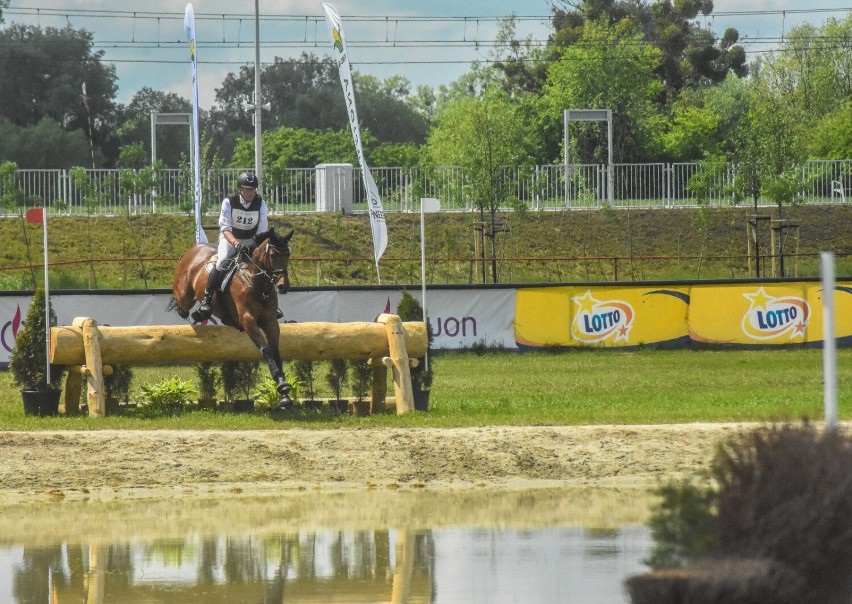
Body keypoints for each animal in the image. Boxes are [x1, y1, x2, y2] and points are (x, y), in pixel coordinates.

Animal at [170, 229, 296, 408]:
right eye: (272, 255)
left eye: (288, 255)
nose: (283, 286)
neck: (256, 280)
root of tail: (193, 249)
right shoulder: (248, 319)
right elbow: (265, 349)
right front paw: (282, 385)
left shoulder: (270, 321)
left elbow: (274, 349)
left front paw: (283, 390)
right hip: (184, 296)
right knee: (182, 306)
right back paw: (200, 311)